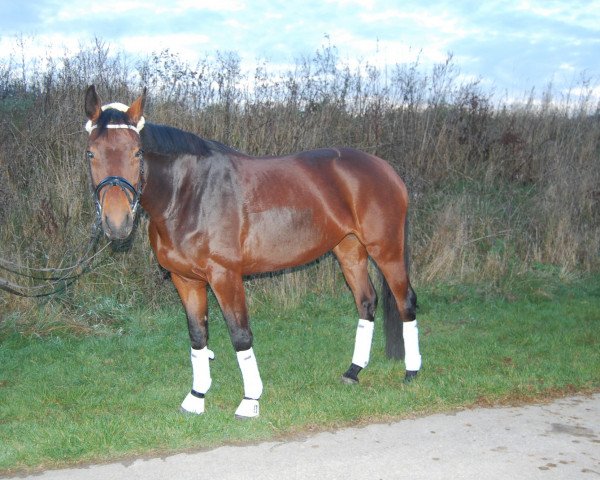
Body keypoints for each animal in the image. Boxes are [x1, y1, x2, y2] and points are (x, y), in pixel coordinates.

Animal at [84, 87, 422, 420]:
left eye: (137, 152)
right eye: (91, 153)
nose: (117, 223)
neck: (190, 194)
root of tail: (385, 168)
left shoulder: (225, 276)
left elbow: (240, 335)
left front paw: (250, 400)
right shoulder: (185, 279)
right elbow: (198, 335)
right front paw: (196, 397)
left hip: (386, 249)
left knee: (405, 300)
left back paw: (412, 372)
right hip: (349, 249)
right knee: (366, 302)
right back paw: (353, 371)